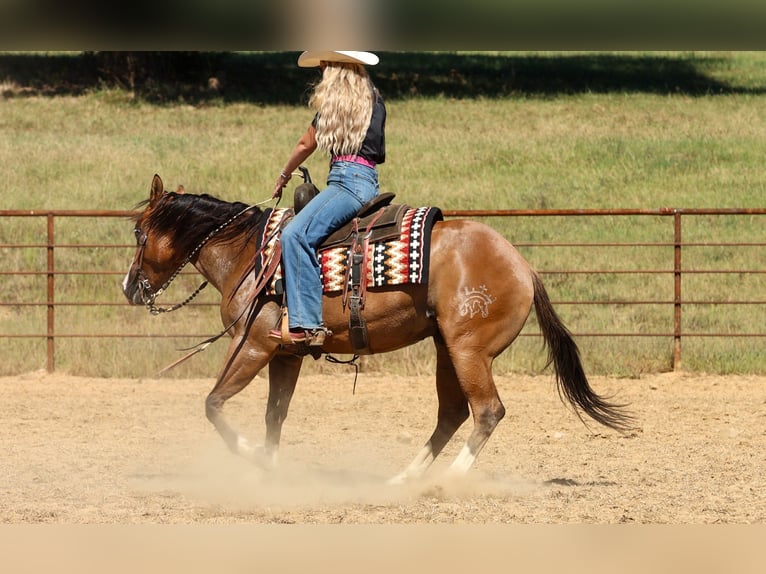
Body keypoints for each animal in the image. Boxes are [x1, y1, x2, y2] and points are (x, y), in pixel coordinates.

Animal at [122, 174, 634, 484]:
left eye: (138, 233)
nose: (129, 287)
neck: (252, 254)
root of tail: (523, 265)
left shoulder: (253, 345)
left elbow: (213, 405)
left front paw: (250, 455)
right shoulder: (286, 354)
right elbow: (274, 416)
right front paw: (270, 471)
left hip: (470, 351)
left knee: (488, 411)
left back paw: (446, 483)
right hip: (447, 350)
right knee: (452, 414)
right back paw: (403, 480)